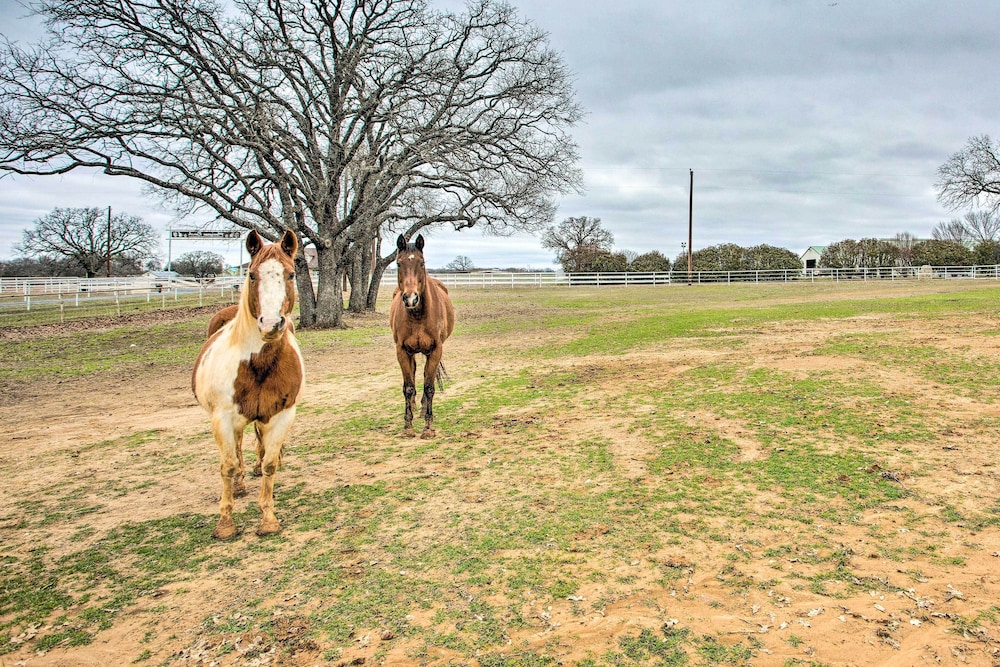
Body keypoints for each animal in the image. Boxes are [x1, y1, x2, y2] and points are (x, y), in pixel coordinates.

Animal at [192, 229, 304, 539]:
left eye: (290, 274)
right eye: (252, 275)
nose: (271, 324)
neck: (259, 364)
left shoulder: (282, 414)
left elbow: (269, 463)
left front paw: (268, 519)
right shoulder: (223, 417)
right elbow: (228, 466)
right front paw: (225, 524)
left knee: (257, 445)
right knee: (238, 449)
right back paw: (241, 483)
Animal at [389, 234, 455, 438]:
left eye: (422, 262)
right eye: (399, 263)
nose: (411, 298)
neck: (417, 315)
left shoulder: (435, 350)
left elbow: (429, 386)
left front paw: (428, 427)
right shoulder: (402, 351)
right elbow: (408, 387)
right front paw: (408, 426)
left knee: (427, 377)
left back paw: (423, 408)